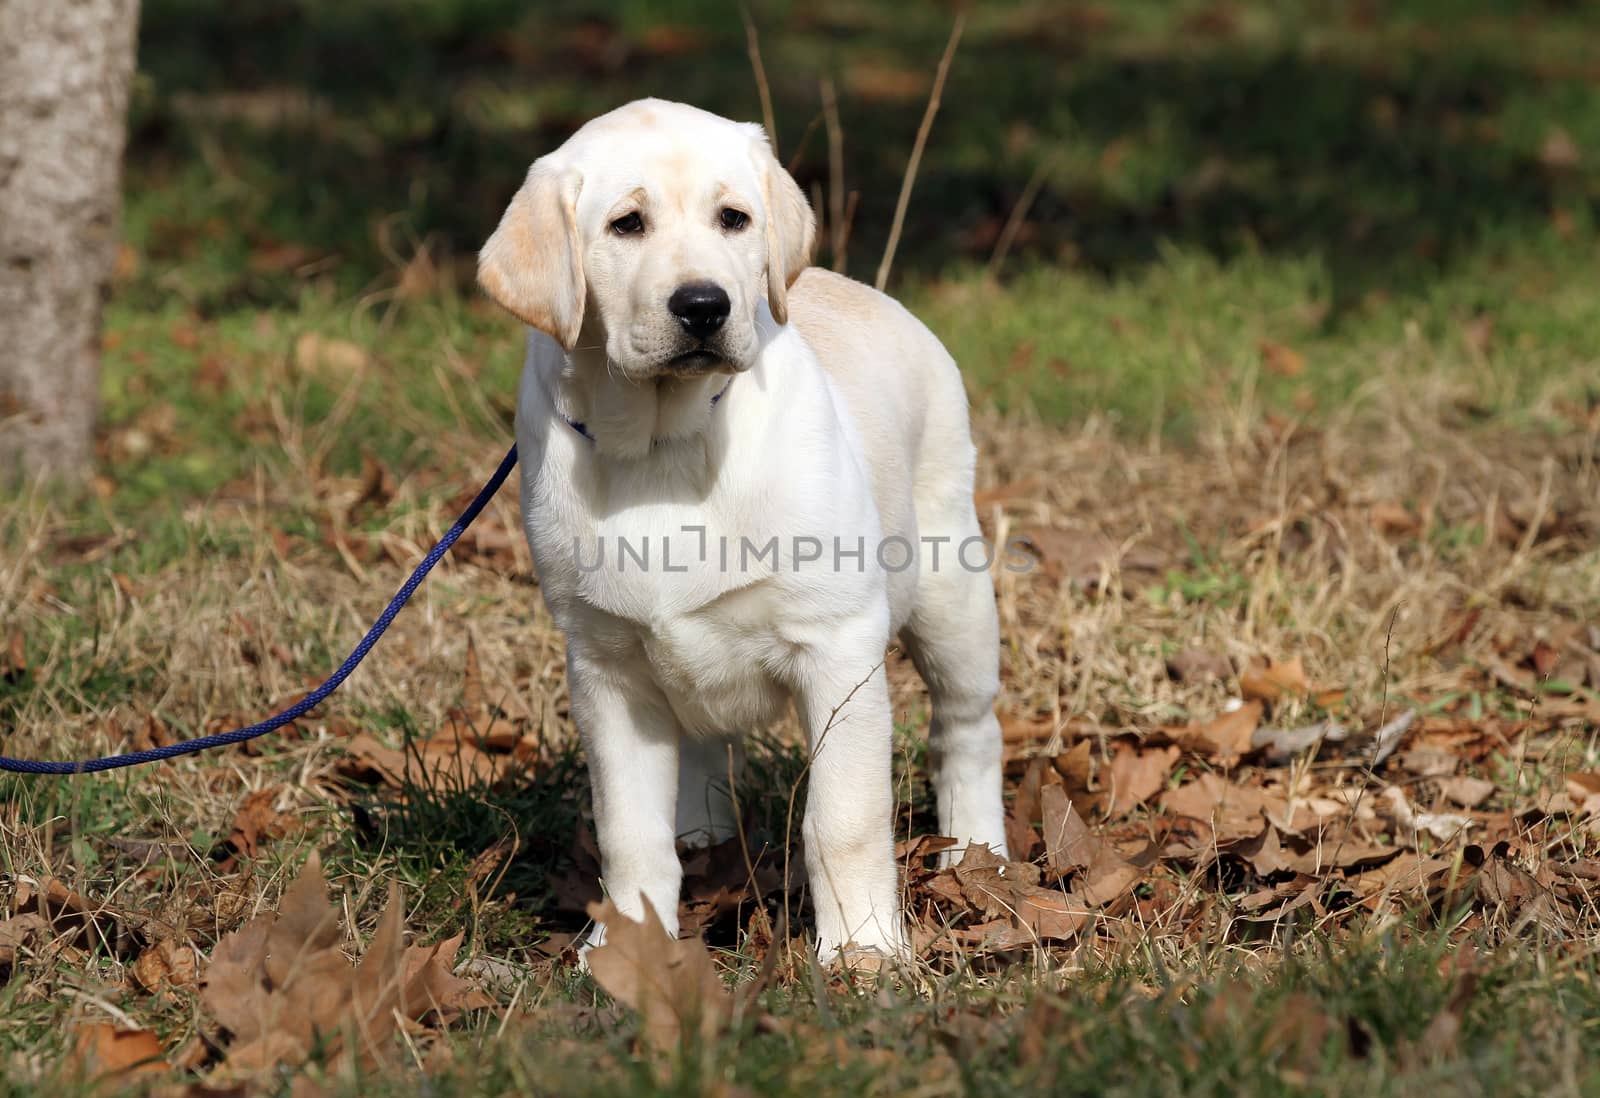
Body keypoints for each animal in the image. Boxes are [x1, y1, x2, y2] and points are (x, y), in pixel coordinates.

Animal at [473, 101, 1004, 960]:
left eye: (734, 219)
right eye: (626, 224)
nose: (704, 306)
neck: (665, 442)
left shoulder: (838, 648)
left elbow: (843, 820)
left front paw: (863, 953)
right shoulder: (606, 670)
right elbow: (630, 834)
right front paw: (626, 951)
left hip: (951, 587)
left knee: (967, 728)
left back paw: (978, 855)